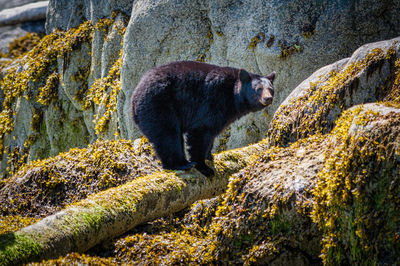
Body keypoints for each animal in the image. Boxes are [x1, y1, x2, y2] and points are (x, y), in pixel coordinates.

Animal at [131, 60, 276, 177]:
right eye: (258, 88)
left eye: (271, 88)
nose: (268, 98)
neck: (233, 94)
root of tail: (134, 99)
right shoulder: (212, 99)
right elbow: (201, 132)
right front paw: (203, 167)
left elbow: (212, 133)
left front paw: (209, 156)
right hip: (159, 104)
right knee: (168, 135)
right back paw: (180, 164)